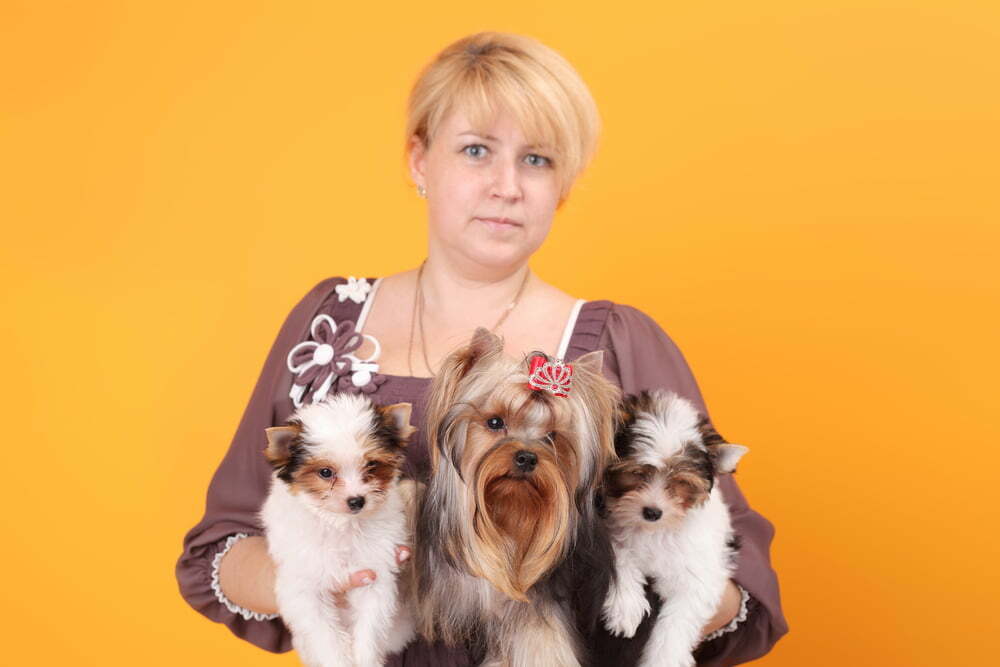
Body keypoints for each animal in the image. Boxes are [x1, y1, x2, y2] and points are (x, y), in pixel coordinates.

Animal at [262, 394, 418, 664]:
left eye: (372, 465)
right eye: (326, 472)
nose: (357, 501)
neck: (342, 525)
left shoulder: (374, 572)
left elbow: (370, 625)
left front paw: (366, 658)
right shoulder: (304, 584)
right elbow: (324, 634)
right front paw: (337, 658)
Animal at [596, 388, 748, 667]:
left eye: (681, 483)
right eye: (636, 473)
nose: (652, 512)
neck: (655, 531)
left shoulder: (697, 577)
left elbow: (677, 624)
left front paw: (664, 657)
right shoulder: (612, 526)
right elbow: (620, 553)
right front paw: (626, 607)